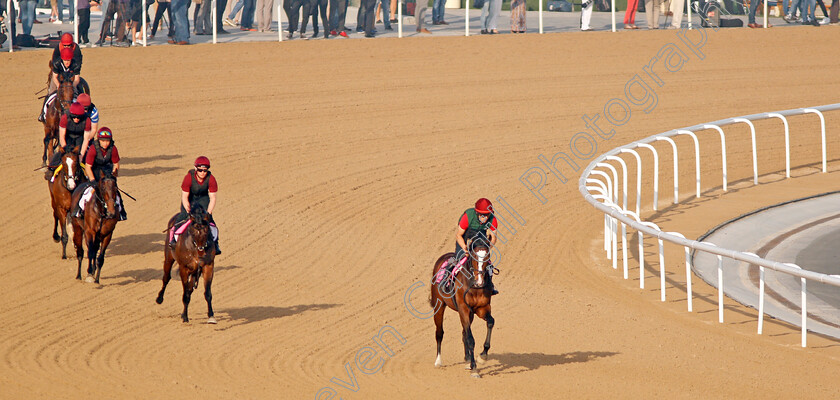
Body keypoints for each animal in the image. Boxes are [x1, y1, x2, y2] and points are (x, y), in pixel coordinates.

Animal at [430, 239, 496, 380]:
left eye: (487, 257)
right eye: (474, 257)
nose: (480, 281)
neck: (474, 286)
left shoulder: (482, 308)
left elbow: (490, 322)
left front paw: (482, 356)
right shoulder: (464, 309)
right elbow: (470, 338)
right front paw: (474, 368)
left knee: (463, 333)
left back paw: (467, 359)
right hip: (439, 306)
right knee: (439, 332)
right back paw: (438, 361)